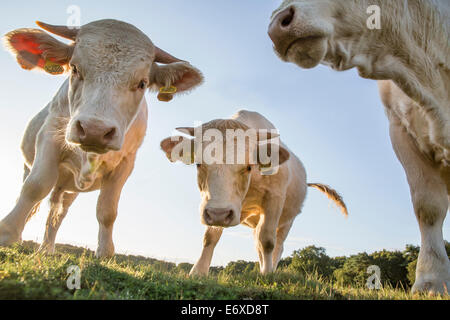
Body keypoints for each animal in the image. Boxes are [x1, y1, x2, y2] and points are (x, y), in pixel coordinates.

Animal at [0, 20, 203, 258]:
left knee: (58, 213)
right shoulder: (49, 137)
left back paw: (47, 248)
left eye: (142, 83)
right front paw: (8, 233)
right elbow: (35, 187)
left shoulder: (126, 162)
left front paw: (105, 251)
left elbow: (107, 209)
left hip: (69, 189)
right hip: (30, 166)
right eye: (74, 68)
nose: (94, 130)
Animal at [161, 110, 348, 276]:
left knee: (278, 244)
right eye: (198, 164)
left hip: (288, 220)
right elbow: (210, 237)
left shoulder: (275, 198)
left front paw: (267, 273)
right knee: (258, 242)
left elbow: (268, 240)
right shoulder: (212, 206)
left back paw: (270, 268)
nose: (219, 214)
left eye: (249, 166)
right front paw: (198, 271)